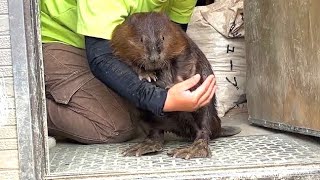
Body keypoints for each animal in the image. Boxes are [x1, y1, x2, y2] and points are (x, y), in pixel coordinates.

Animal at [110, 12, 240, 159]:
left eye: (163, 37)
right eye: (141, 39)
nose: (154, 58)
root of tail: (218, 128)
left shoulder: (181, 40)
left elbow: (185, 61)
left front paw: (172, 85)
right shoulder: (119, 41)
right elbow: (125, 61)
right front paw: (148, 75)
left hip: (207, 111)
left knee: (204, 130)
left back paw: (190, 150)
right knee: (155, 132)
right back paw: (142, 147)